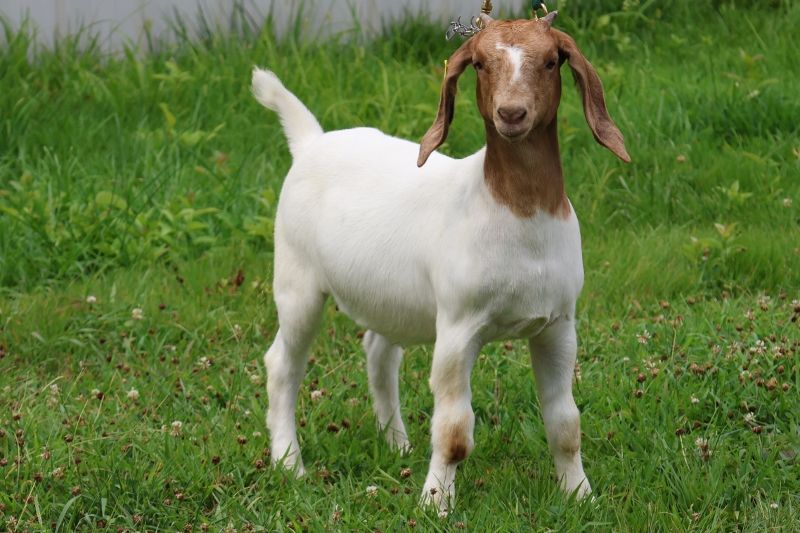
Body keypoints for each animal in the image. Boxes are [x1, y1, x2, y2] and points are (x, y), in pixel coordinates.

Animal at [252, 11, 630, 514]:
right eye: (481, 64)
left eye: (551, 61)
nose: (512, 114)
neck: (516, 212)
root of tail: (310, 142)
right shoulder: (457, 328)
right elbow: (453, 432)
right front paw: (435, 502)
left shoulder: (558, 325)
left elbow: (566, 424)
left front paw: (580, 496)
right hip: (297, 283)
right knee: (282, 365)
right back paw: (289, 463)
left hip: (392, 297)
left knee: (378, 352)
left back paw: (397, 444)